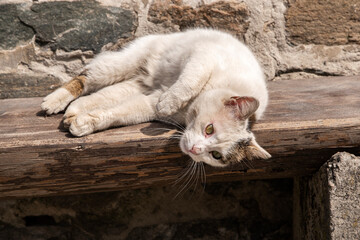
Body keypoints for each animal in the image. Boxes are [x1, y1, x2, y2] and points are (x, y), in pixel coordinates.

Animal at [41, 28, 270, 167]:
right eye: (209, 129)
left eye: (216, 155)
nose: (195, 149)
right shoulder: (203, 58)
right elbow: (190, 81)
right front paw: (169, 102)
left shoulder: (148, 104)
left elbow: (118, 114)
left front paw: (85, 124)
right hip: (120, 65)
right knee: (84, 77)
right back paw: (53, 102)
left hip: (135, 85)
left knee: (101, 96)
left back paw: (73, 113)